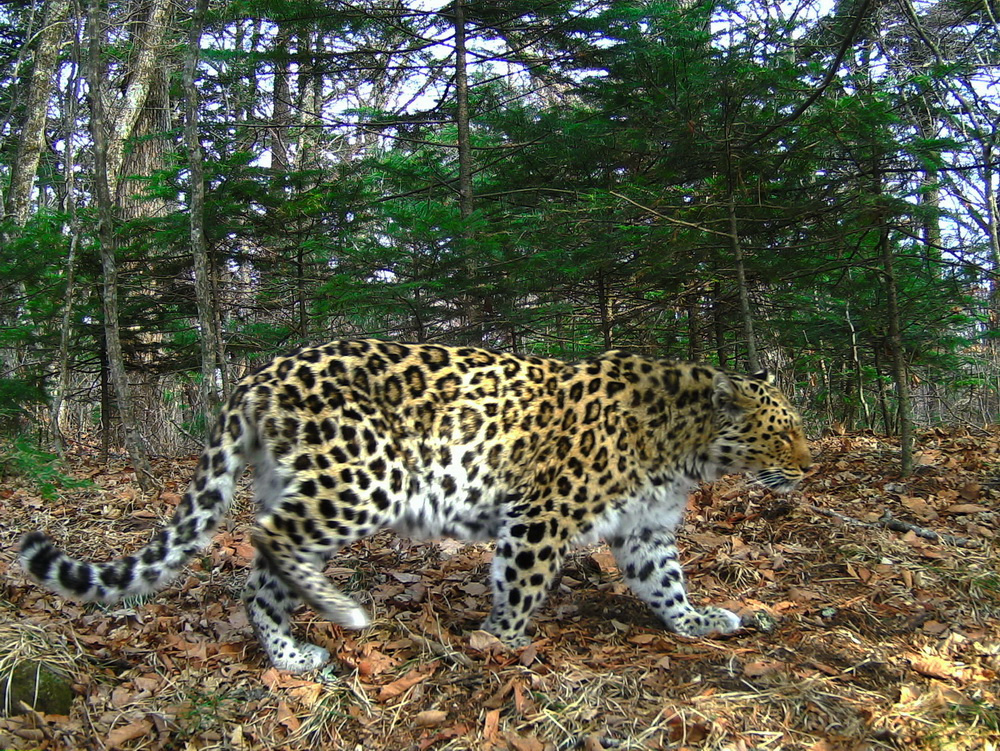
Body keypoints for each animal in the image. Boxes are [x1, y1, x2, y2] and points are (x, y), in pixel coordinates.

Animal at [17, 338, 812, 672]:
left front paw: (699, 621)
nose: (810, 467)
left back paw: (293, 654)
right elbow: (521, 580)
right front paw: (500, 641)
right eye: (783, 433)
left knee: (263, 573)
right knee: (268, 535)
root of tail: (260, 372)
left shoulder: (646, 529)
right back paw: (342, 610)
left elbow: (665, 584)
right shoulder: (542, 513)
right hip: (367, 474)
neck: (685, 444)